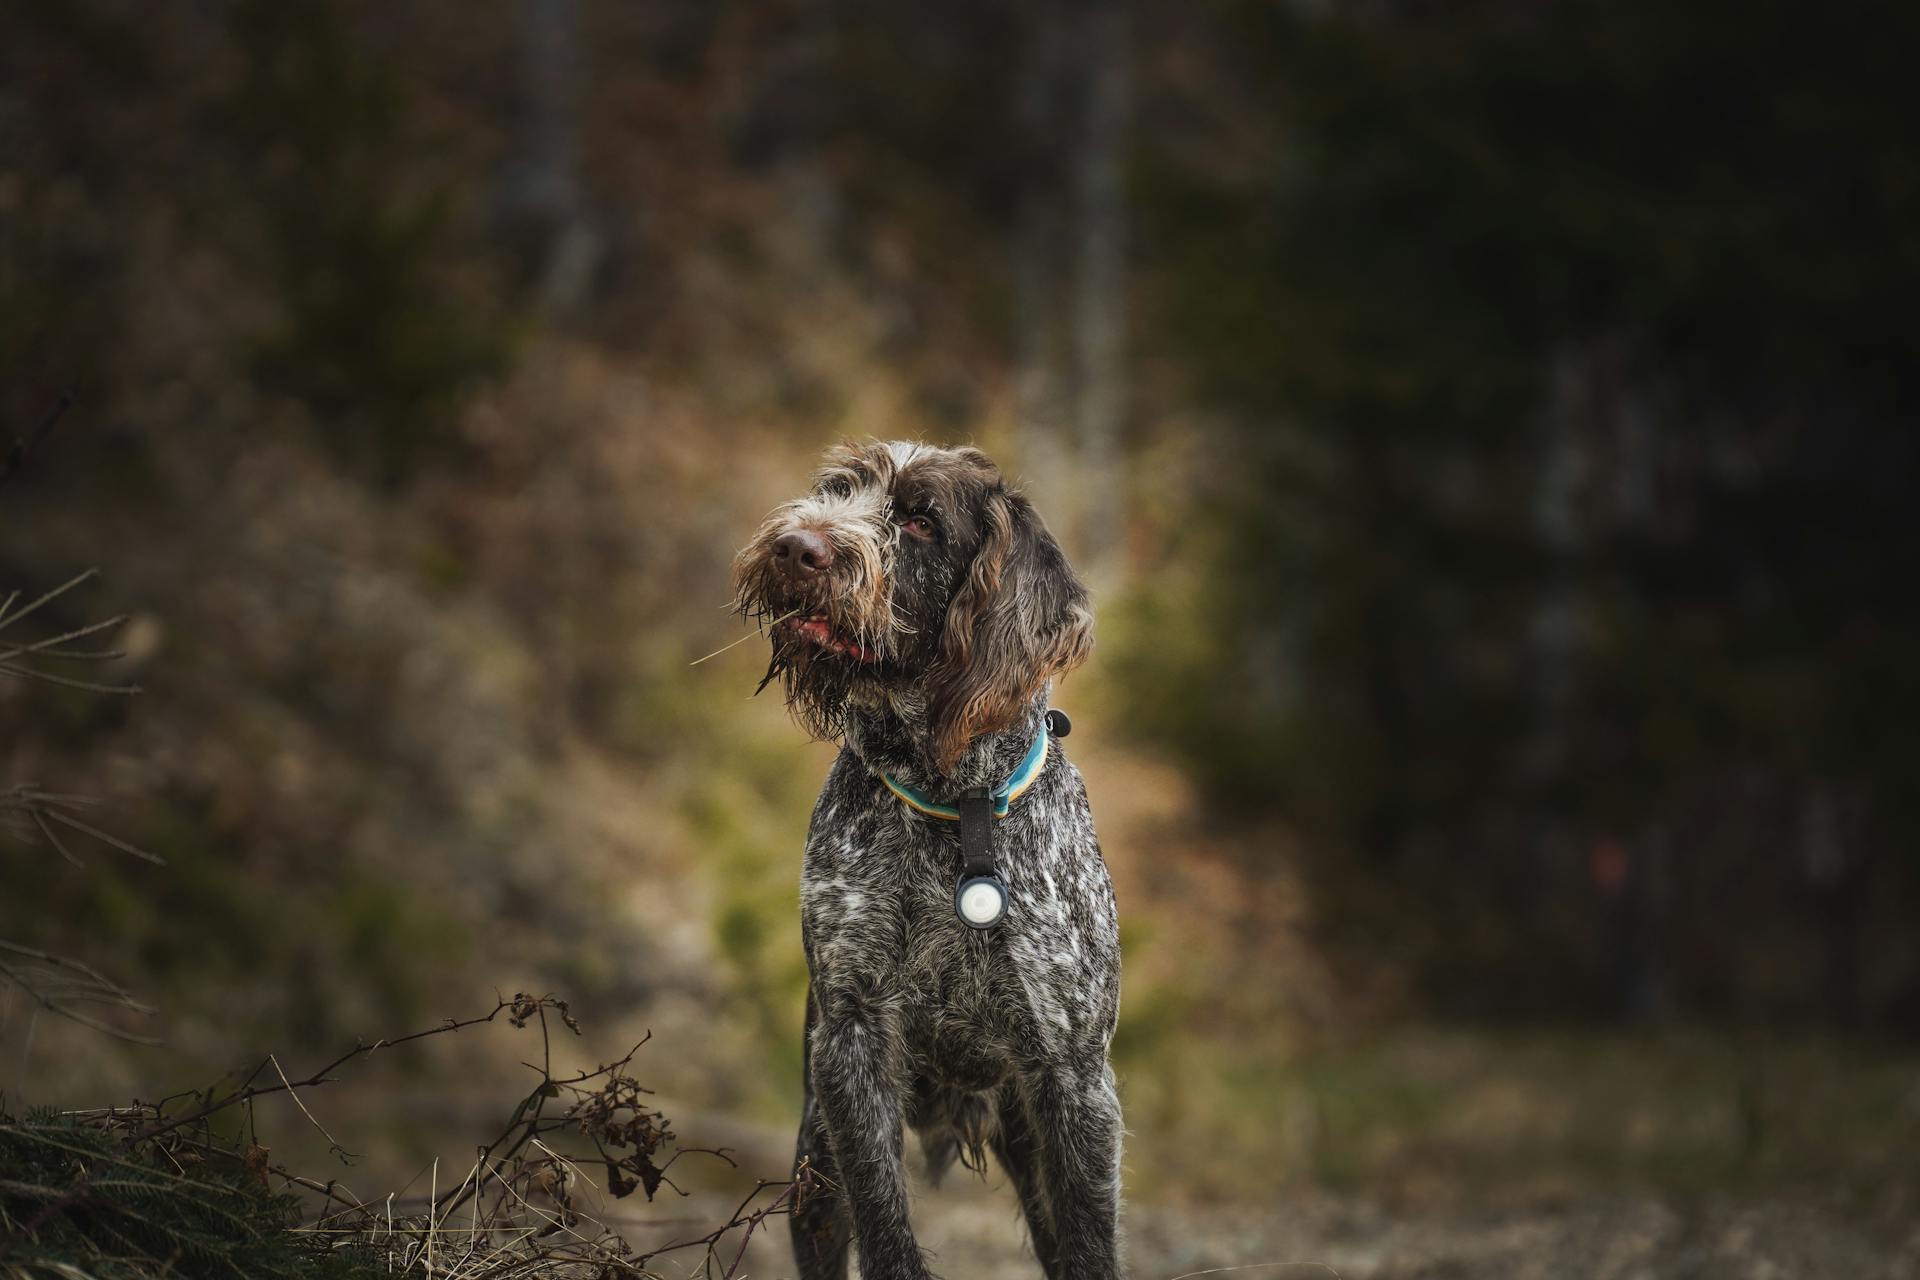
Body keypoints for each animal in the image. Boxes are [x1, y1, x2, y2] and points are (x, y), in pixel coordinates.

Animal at [733, 443, 1121, 1280]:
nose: (795, 546)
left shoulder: (1074, 1079)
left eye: (919, 521)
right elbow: (885, 1225)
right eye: (836, 490)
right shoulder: (851, 1041)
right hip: (814, 1166)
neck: (956, 805)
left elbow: (1091, 1246)